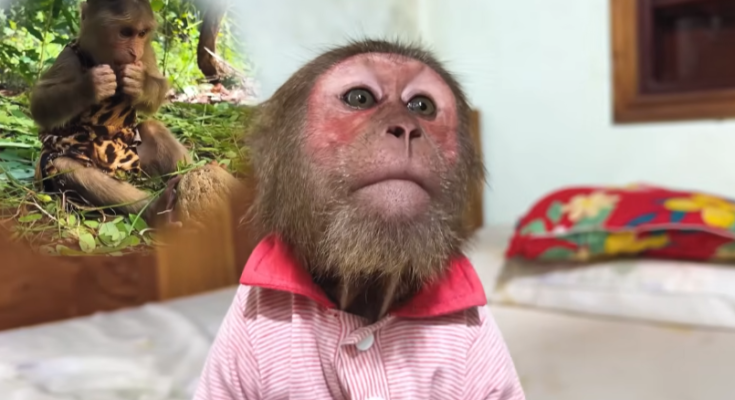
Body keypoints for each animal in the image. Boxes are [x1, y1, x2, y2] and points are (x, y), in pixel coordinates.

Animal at [29, 0, 191, 225]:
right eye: (125, 32)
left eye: (141, 33)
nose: (134, 52)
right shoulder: (68, 57)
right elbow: (39, 104)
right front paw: (91, 85)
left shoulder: (146, 51)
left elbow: (158, 86)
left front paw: (139, 84)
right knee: (65, 165)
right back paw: (156, 208)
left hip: (138, 161)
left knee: (152, 128)